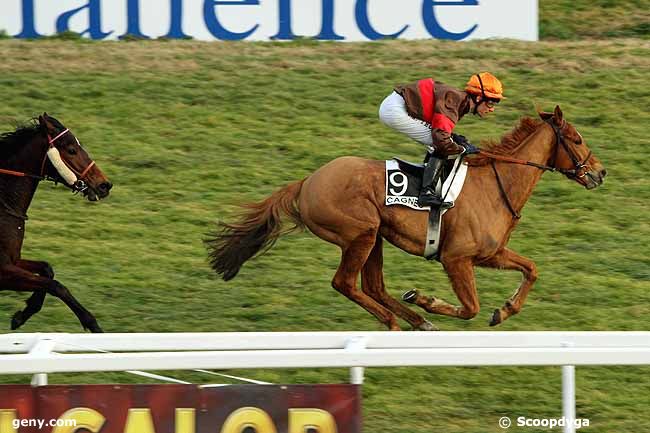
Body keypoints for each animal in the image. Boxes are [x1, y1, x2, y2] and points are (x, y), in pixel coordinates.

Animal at [0, 114, 111, 330]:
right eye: (71, 150)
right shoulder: (2, 271)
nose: (104, 185)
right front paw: (93, 325)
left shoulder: (14, 261)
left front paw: (22, 315)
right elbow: (57, 286)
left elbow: (47, 269)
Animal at [205, 106, 604, 330]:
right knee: (345, 283)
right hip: (361, 233)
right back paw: (396, 321)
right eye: (577, 139)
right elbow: (469, 308)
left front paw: (504, 310)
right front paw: (428, 300)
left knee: (373, 286)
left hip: (375, 237)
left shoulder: (489, 254)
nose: (600, 173)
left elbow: (531, 269)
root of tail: (307, 182)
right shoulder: (456, 258)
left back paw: (416, 320)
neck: (496, 183)